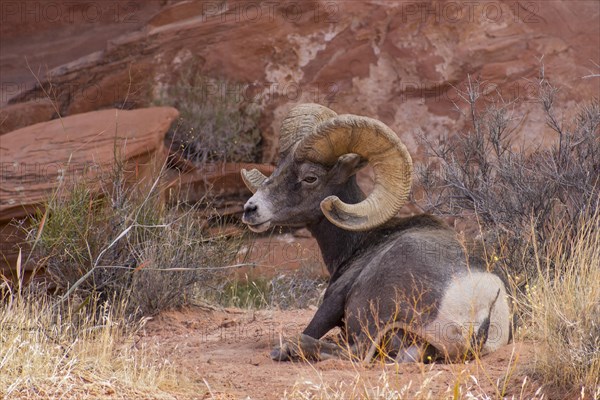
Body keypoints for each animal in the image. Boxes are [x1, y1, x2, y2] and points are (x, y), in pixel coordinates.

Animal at [241, 104, 508, 362]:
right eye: (279, 167)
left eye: (310, 177)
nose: (251, 209)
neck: (361, 240)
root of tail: (484, 310)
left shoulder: (333, 301)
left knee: (356, 351)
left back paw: (288, 348)